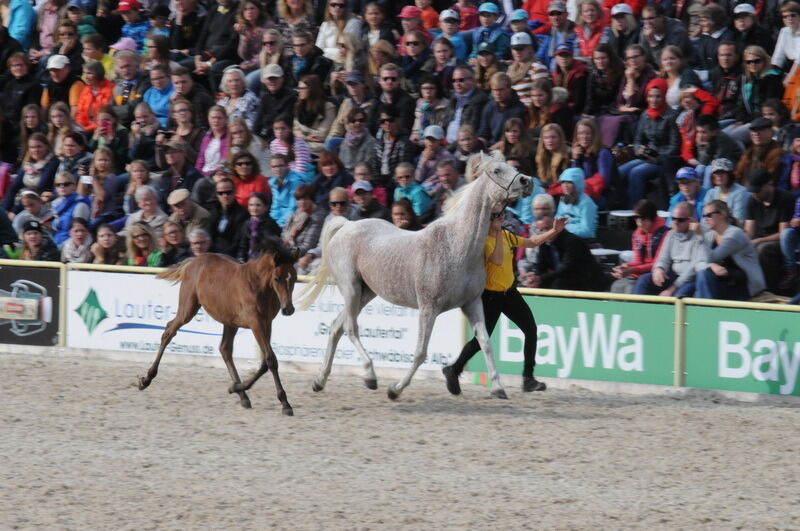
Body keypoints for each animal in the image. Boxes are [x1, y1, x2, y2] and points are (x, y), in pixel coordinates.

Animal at [138, 237, 300, 416]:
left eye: (294, 278)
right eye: (277, 278)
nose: (288, 309)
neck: (259, 286)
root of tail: (194, 261)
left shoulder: (267, 323)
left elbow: (265, 362)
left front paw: (236, 387)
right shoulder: (255, 323)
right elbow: (271, 359)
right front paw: (285, 403)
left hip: (229, 320)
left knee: (225, 349)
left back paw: (242, 394)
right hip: (188, 309)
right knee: (169, 331)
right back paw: (146, 380)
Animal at [296, 153, 536, 400]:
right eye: (497, 170)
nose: (527, 181)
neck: (457, 246)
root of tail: (346, 225)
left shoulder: (472, 303)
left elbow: (485, 343)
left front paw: (498, 388)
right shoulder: (428, 307)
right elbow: (421, 352)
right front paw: (395, 389)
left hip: (366, 292)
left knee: (336, 326)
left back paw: (320, 381)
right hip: (350, 287)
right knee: (351, 328)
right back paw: (370, 376)